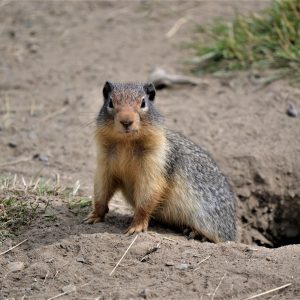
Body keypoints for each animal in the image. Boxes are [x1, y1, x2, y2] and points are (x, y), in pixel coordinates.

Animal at [83, 81, 236, 243]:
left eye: (143, 102)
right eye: (110, 102)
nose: (126, 121)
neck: (126, 143)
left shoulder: (154, 164)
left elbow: (147, 195)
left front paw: (136, 227)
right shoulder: (104, 163)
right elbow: (102, 190)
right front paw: (93, 217)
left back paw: (195, 233)